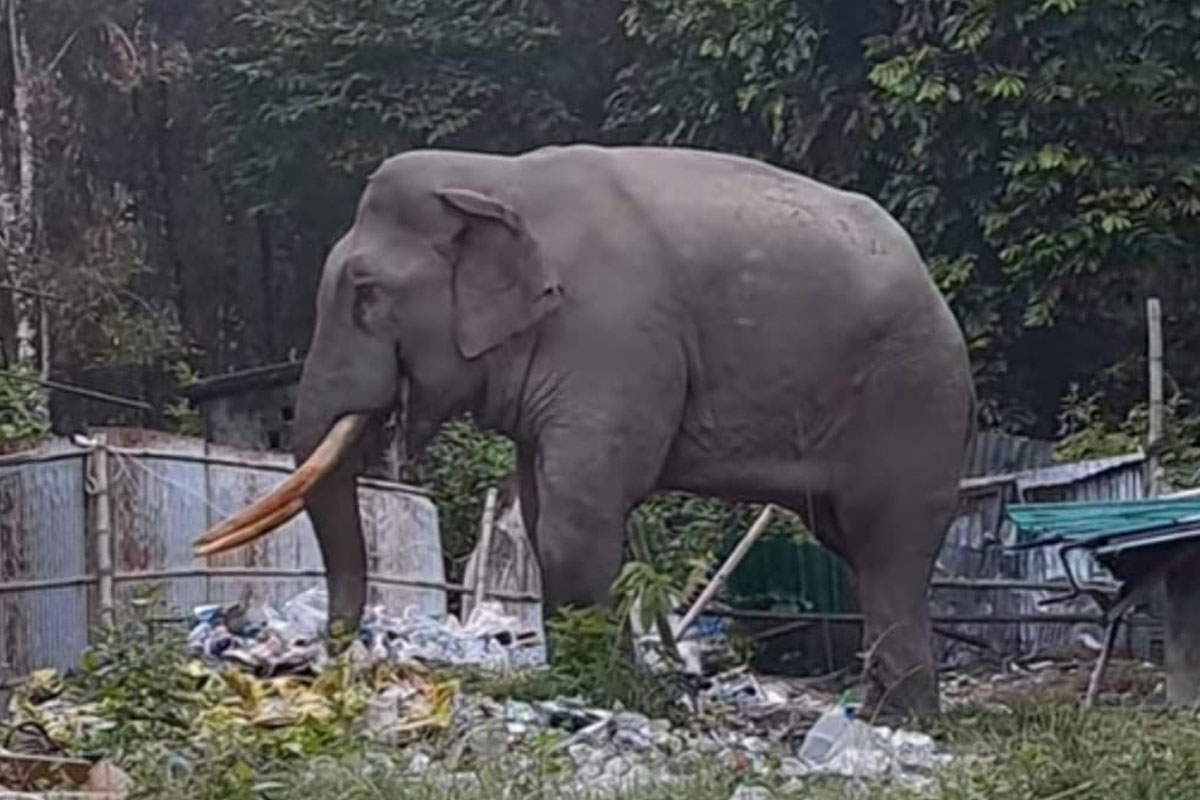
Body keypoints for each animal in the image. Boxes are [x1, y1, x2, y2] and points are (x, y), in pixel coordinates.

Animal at [195, 143, 976, 717]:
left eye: (366, 294)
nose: (327, 664)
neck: (493, 178)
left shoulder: (613, 333)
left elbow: (579, 512)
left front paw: (602, 691)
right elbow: (542, 507)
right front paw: (585, 683)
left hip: (915, 394)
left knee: (889, 543)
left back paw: (898, 719)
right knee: (857, 547)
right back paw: (880, 712)